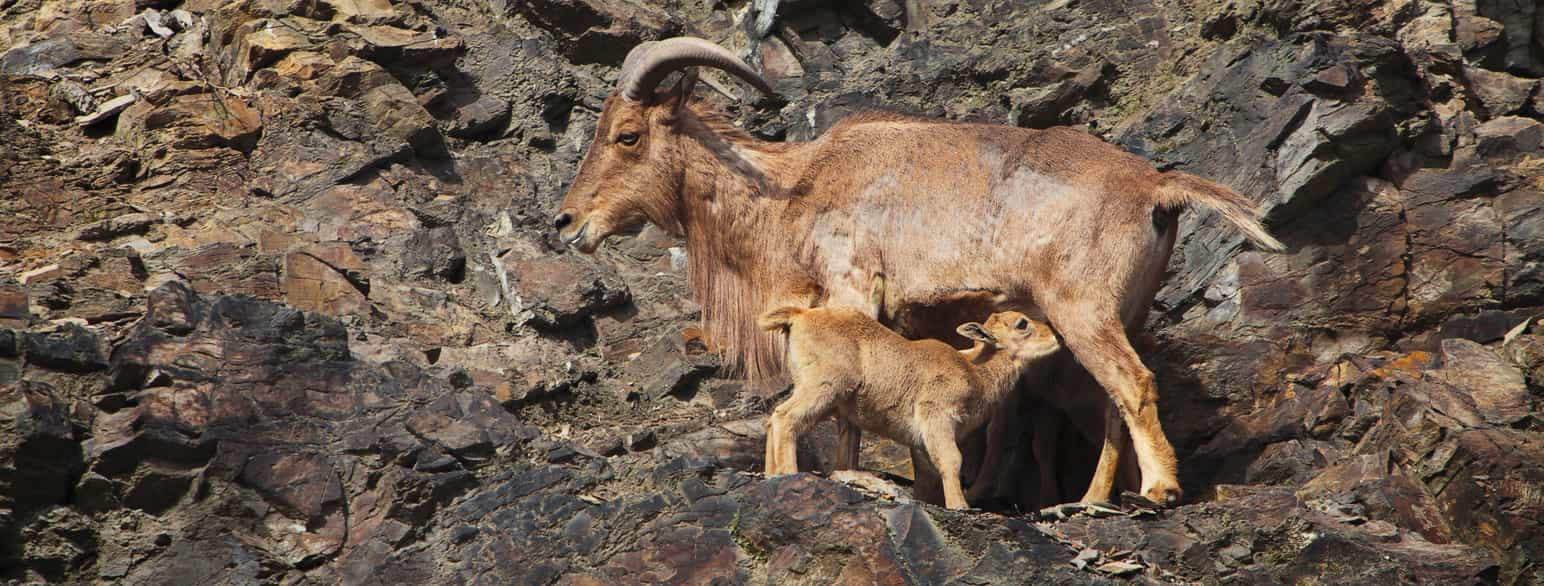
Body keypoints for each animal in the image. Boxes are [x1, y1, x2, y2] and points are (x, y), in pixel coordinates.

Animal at [759, 303, 1062, 511]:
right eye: (1022, 323)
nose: (1056, 336)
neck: (974, 371)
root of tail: (798, 315)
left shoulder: (921, 442)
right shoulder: (937, 417)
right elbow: (952, 460)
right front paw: (960, 506)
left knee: (773, 419)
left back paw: (771, 474)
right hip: (823, 386)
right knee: (785, 417)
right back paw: (788, 473)